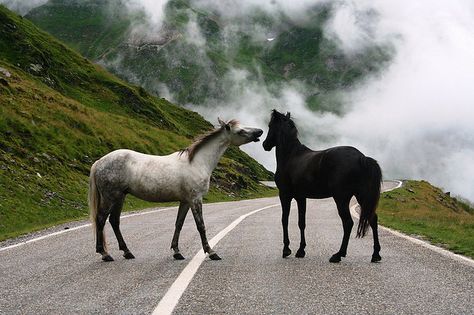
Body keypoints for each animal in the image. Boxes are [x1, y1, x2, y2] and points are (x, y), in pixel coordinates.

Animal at [262, 110, 384, 262]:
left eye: (270, 125)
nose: (265, 145)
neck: (291, 156)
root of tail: (361, 157)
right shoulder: (301, 198)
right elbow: (301, 222)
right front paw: (301, 250)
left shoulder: (285, 195)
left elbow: (285, 220)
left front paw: (286, 250)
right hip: (361, 196)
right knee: (372, 219)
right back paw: (375, 254)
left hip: (341, 198)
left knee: (348, 223)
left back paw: (338, 254)